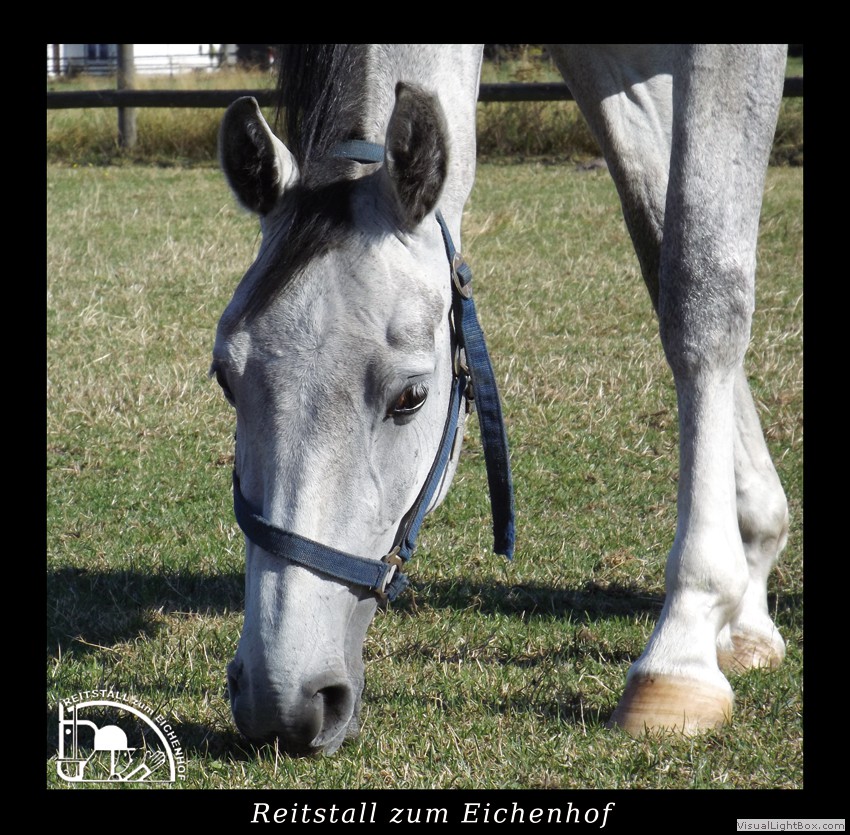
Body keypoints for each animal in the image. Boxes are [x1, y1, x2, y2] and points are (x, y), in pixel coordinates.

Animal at [212, 44, 790, 755]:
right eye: (225, 378)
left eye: (411, 397)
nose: (280, 701)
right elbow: (661, 253)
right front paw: (747, 590)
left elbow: (701, 290)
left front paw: (684, 645)